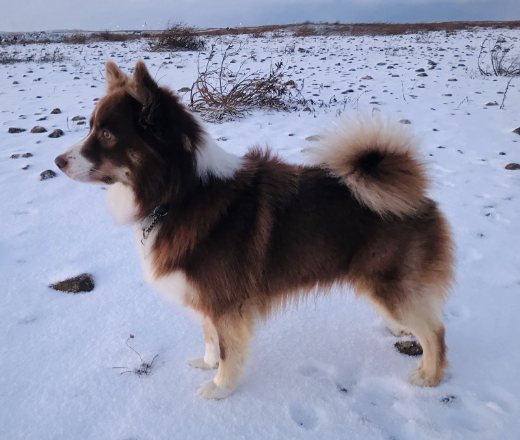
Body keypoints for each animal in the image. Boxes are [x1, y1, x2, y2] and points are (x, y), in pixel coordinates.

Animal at [54, 60, 456, 400]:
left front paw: (220, 387)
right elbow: (209, 336)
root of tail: (417, 194)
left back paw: (430, 376)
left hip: (389, 284)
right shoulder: (207, 297)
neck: (181, 193)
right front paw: (208, 364)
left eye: (107, 134)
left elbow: (228, 347)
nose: (58, 161)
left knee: (435, 331)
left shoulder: (226, 301)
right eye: (91, 127)